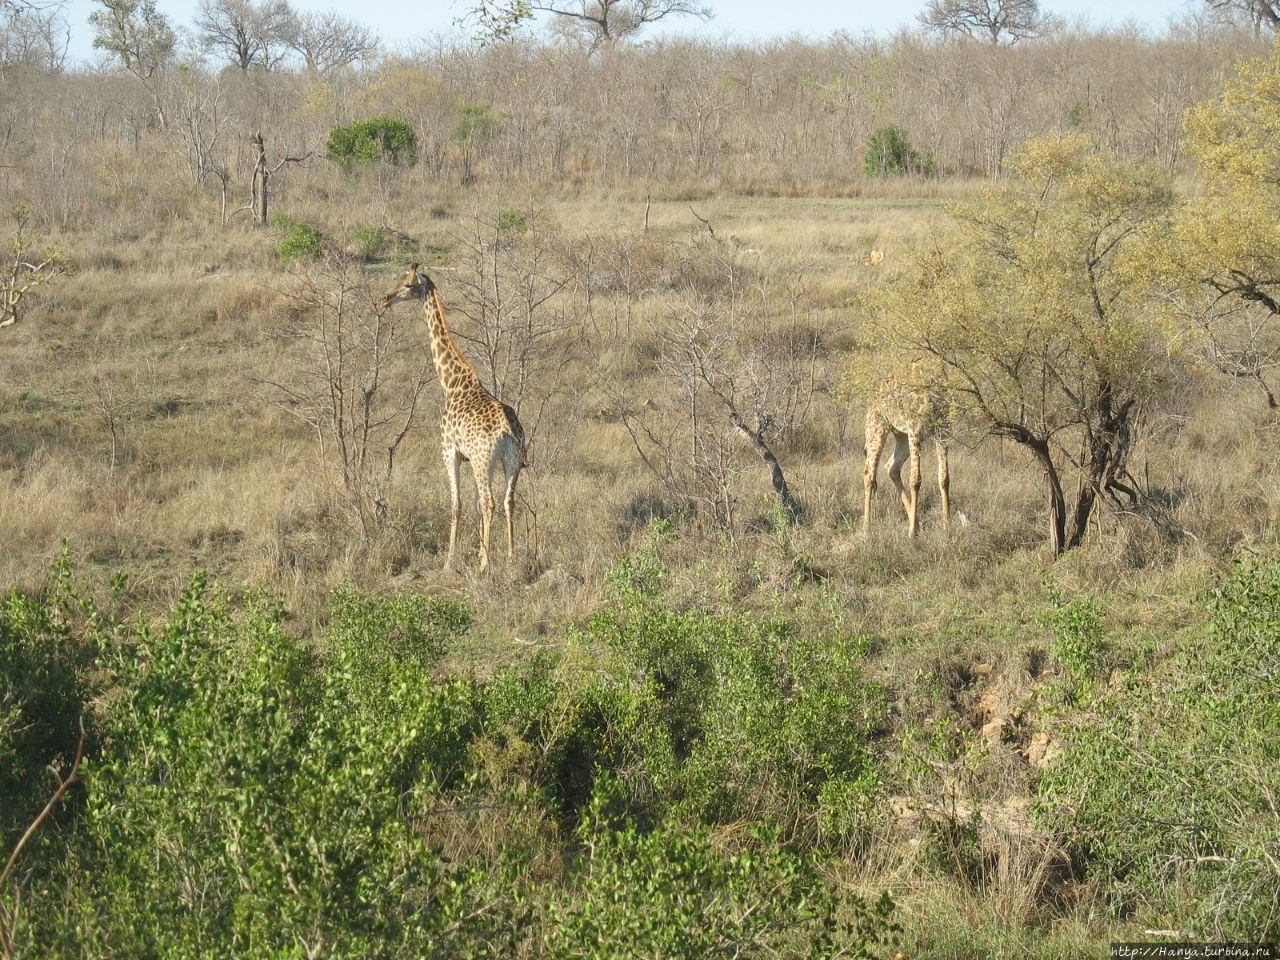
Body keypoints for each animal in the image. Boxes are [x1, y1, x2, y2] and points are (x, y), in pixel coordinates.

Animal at [378, 263, 524, 570]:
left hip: (484, 460)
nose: (384, 299)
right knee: (508, 501)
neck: (451, 381)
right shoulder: (467, 456)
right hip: (512, 459)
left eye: (408, 284)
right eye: (400, 278)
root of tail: (508, 428)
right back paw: (510, 557)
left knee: (490, 502)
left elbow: (457, 504)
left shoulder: (449, 451)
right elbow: (473, 505)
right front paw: (478, 552)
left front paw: (450, 560)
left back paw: (485, 565)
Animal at [860, 363, 952, 542]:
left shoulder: (943, 429)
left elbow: (944, 478)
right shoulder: (915, 427)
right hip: (877, 428)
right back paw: (867, 530)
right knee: (869, 474)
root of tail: (874, 398)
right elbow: (915, 479)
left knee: (891, 467)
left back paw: (917, 523)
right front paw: (911, 533)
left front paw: (947, 528)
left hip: (901, 434)